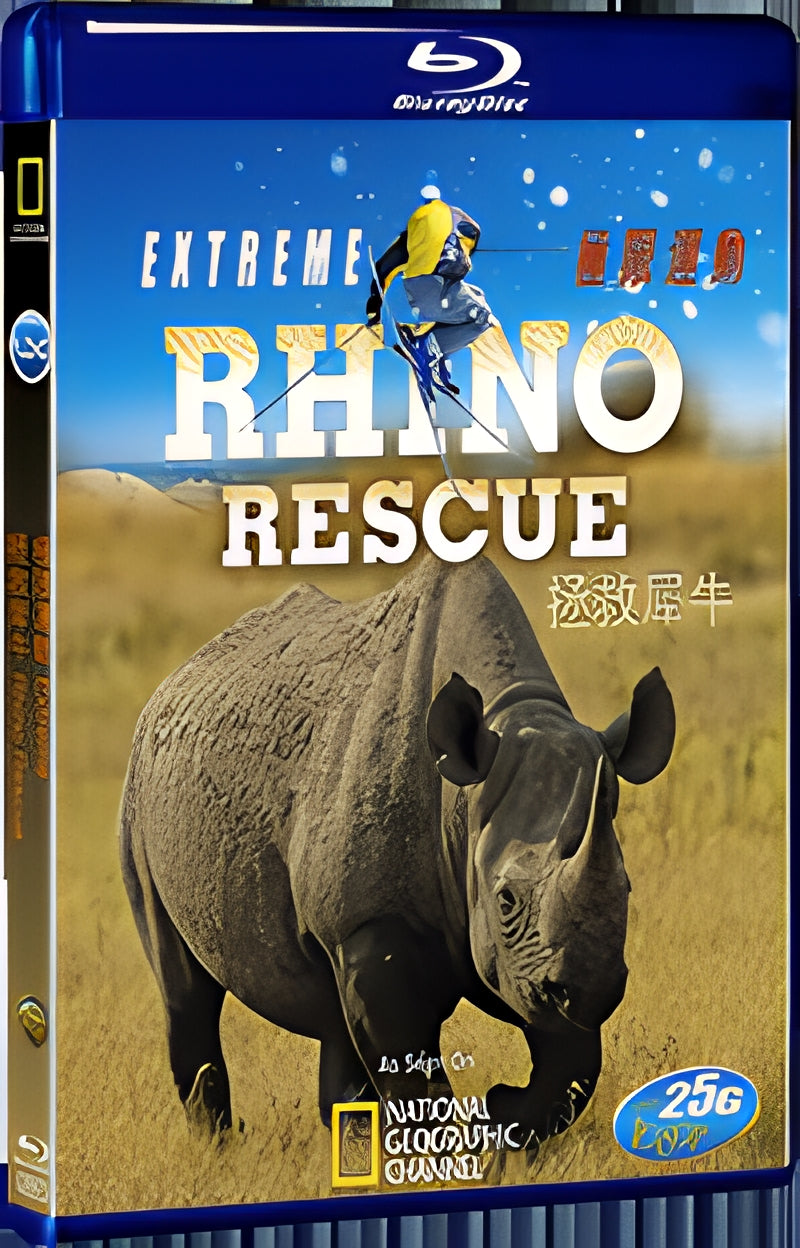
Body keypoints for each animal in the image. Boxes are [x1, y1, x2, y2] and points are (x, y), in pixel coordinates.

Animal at [120, 555, 675, 1150]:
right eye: (505, 900)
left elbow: (570, 1071)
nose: (591, 991)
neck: (467, 797)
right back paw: (220, 1150)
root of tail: (172, 681)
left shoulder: (536, 964)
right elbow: (413, 1077)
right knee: (184, 990)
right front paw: (442, 1153)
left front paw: (502, 1113)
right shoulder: (370, 922)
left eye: (627, 888)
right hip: (139, 796)